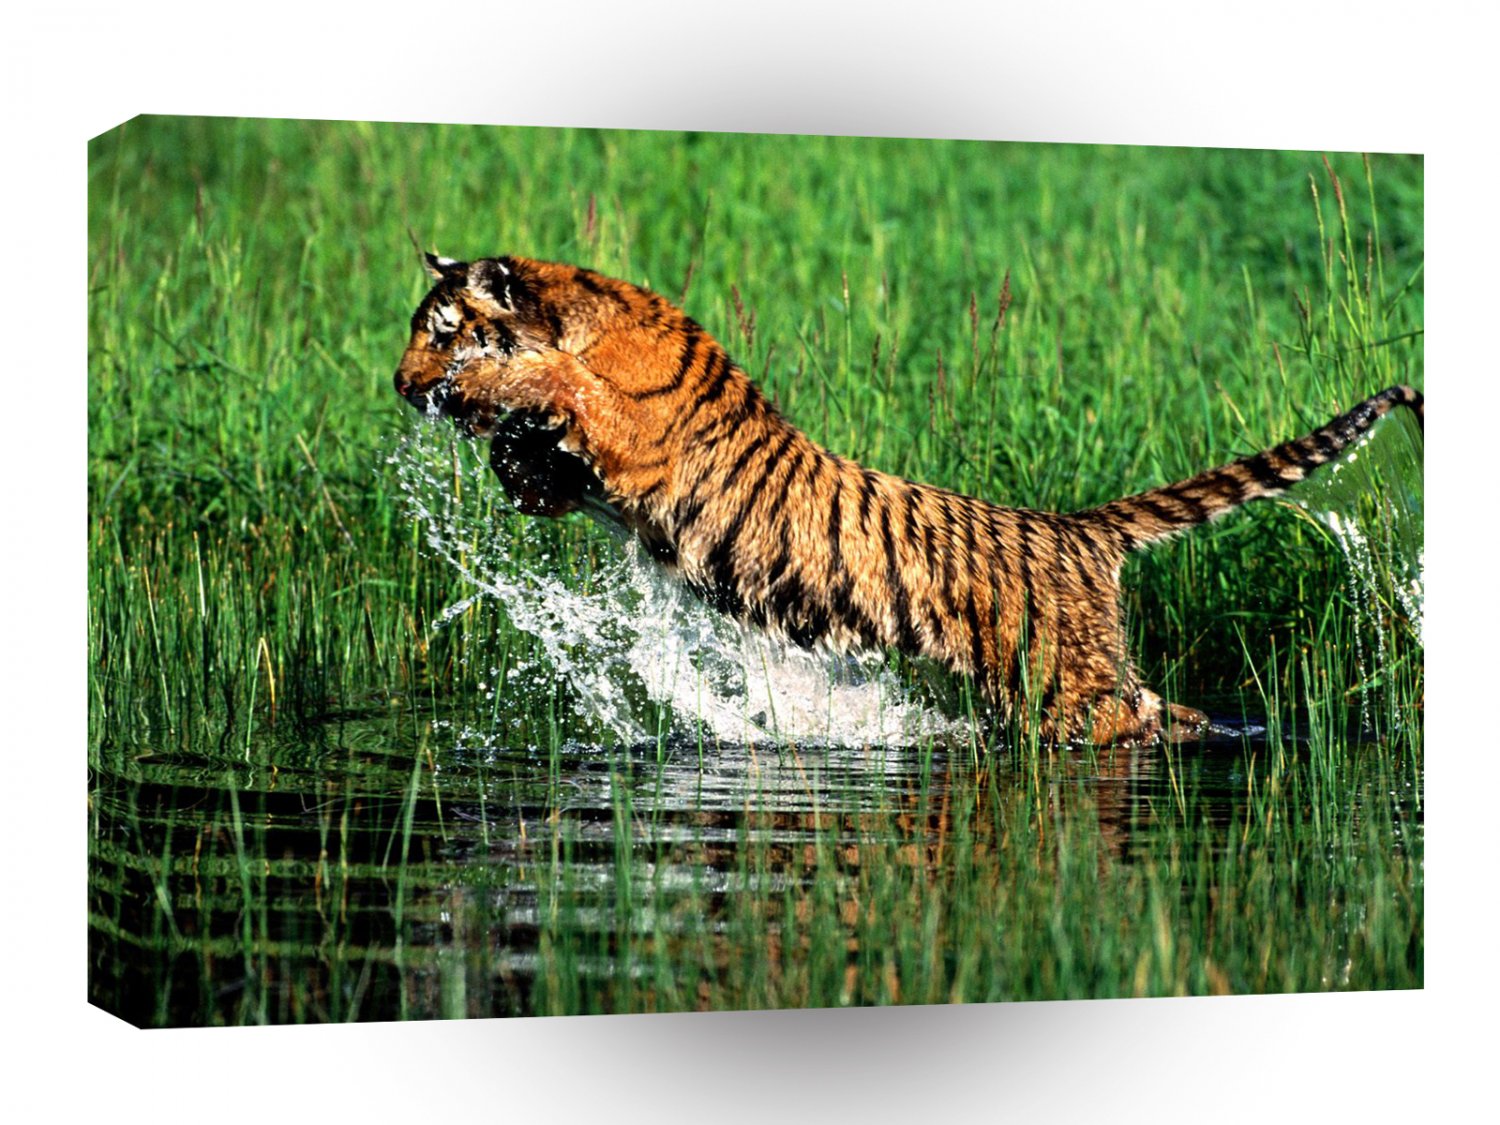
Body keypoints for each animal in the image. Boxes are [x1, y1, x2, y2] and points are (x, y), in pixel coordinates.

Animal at [394, 252, 1424, 744]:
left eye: (440, 333)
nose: (402, 387)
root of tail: (1077, 529)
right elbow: (543, 453)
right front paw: (513, 457)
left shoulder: (638, 437)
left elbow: (559, 381)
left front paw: (492, 390)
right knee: (1172, 712)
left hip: (1071, 688)